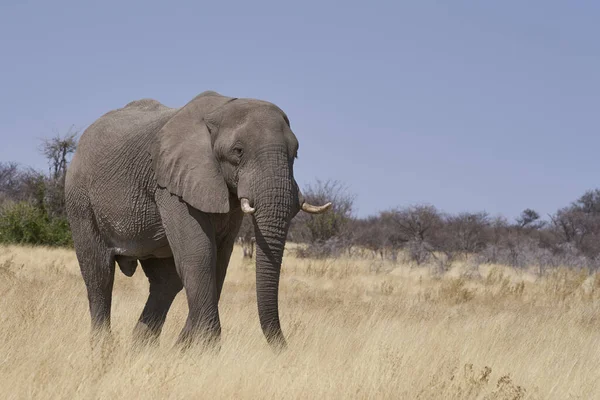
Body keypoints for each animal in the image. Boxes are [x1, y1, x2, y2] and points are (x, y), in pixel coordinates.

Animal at [64, 91, 332, 350]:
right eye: (238, 151)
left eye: (295, 153)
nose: (286, 350)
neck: (221, 110)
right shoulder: (173, 185)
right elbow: (200, 255)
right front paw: (206, 347)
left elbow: (219, 260)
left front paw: (188, 348)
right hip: (81, 201)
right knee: (99, 273)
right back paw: (103, 350)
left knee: (165, 282)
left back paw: (142, 348)